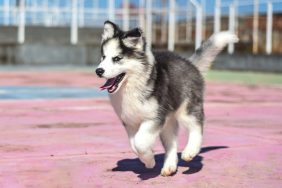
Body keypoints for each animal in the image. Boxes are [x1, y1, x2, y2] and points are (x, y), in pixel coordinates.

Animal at [95, 20, 238, 176]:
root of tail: (189, 63)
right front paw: (149, 161)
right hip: (168, 123)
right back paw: (170, 166)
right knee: (171, 144)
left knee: (197, 126)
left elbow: (140, 141)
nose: (98, 71)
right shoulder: (130, 122)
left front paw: (149, 159)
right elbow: (134, 145)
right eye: (103, 57)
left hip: (187, 108)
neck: (132, 87)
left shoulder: (155, 117)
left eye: (117, 58)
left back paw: (190, 152)